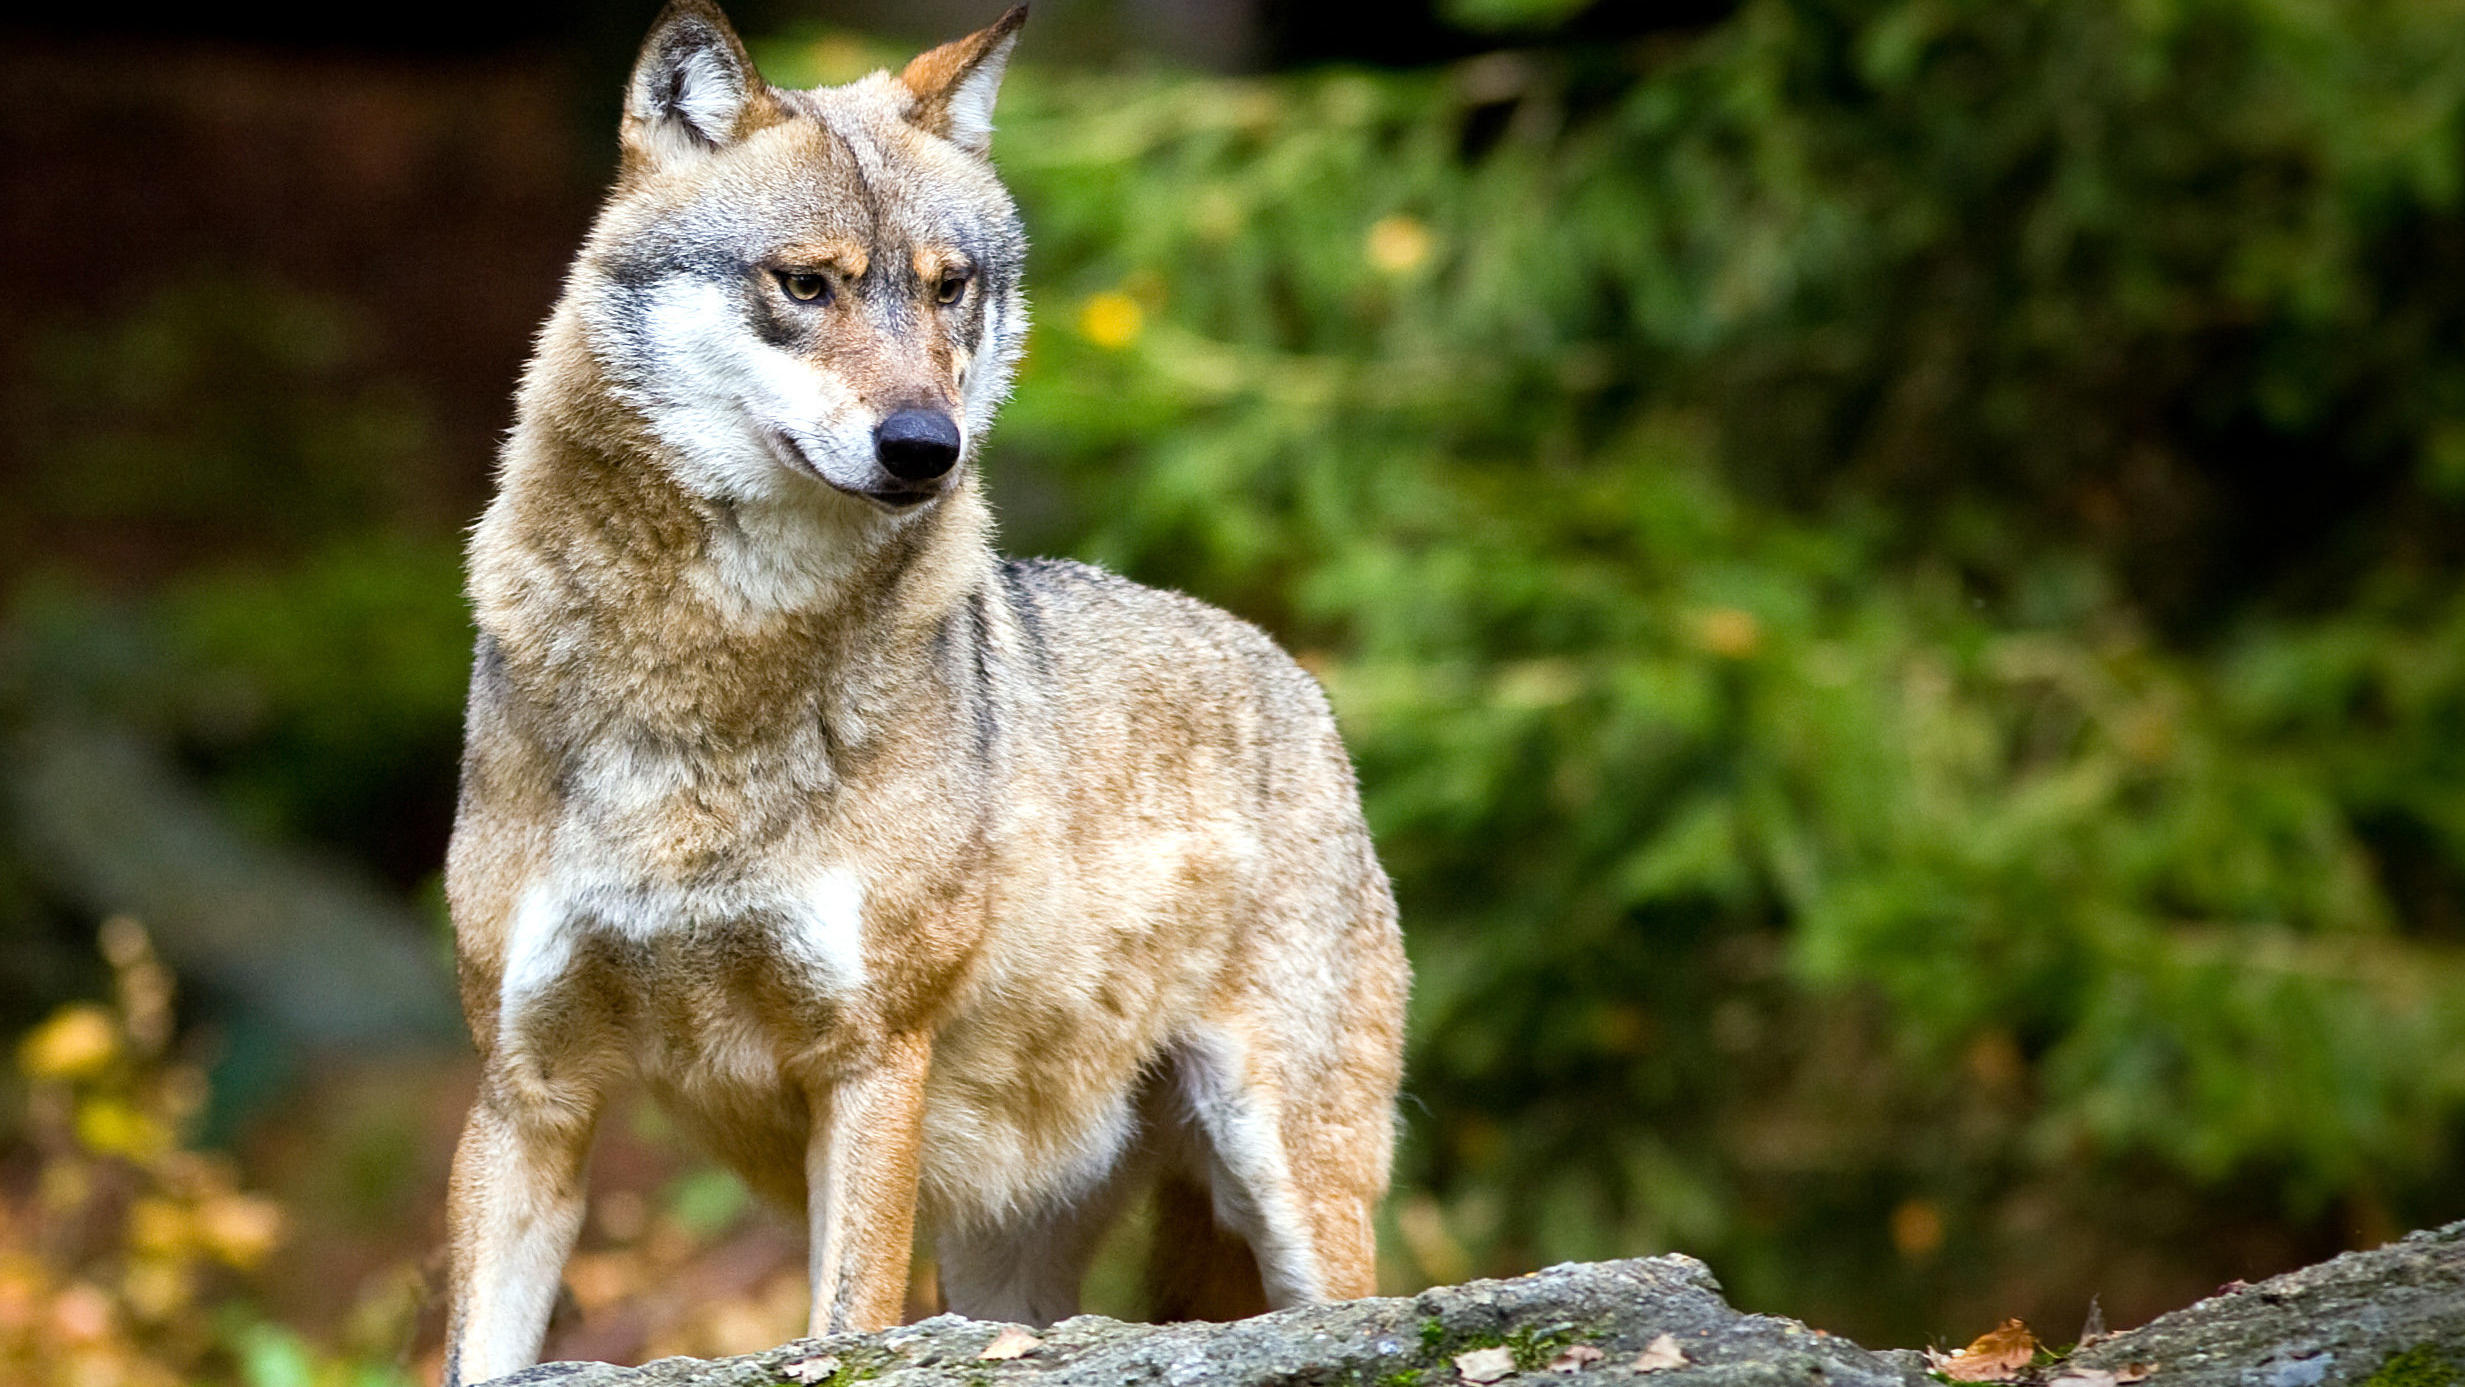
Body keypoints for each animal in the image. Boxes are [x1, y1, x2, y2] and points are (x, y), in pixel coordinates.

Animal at [438, 5, 1409, 1379]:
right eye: (806, 283)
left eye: (951, 286)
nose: (923, 447)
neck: (709, 672)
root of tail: (1293, 675)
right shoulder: (527, 1091)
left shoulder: (869, 1060)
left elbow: (844, 1320)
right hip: (1007, 1267)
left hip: (1290, 1190)